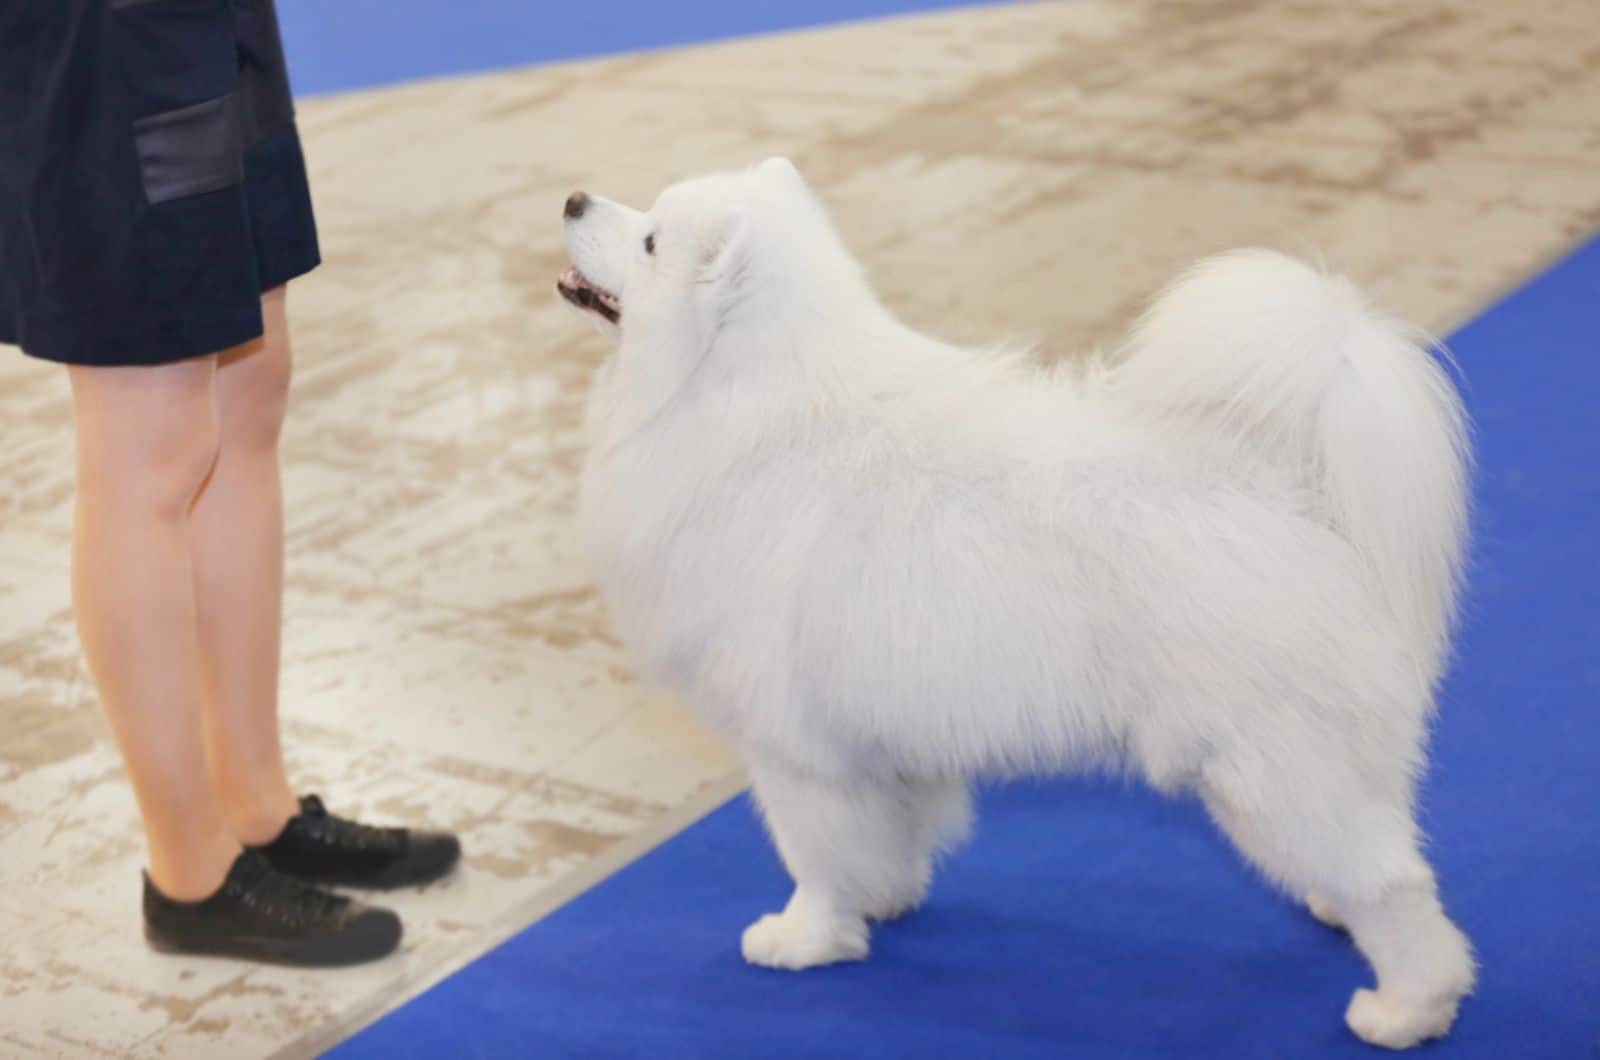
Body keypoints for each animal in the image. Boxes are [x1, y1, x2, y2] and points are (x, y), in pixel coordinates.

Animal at [560, 161, 1472, 1050]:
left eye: (650, 241)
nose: (572, 198)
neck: (739, 399)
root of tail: (1284, 489)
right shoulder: (879, 738)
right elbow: (886, 838)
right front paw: (883, 902)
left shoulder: (793, 749)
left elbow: (813, 858)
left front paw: (803, 940)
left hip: (1269, 768)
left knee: (1395, 886)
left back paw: (1404, 1011)